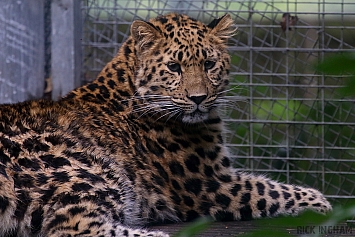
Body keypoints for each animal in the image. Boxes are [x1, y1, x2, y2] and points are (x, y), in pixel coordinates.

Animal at [0, 13, 332, 237]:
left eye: (209, 64)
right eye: (174, 67)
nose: (198, 98)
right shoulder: (212, 183)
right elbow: (271, 190)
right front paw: (321, 202)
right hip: (84, 166)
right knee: (72, 226)